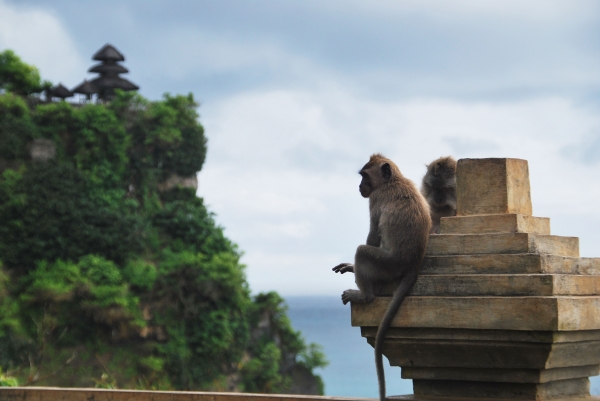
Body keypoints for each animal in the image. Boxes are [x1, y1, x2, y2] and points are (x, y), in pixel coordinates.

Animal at [332, 154, 432, 401]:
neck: (394, 181)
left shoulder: (376, 199)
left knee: (363, 251)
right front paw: (350, 266)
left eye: (365, 176)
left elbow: (373, 235)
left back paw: (364, 295)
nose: (359, 186)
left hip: (387, 266)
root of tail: (413, 264)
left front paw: (353, 266)